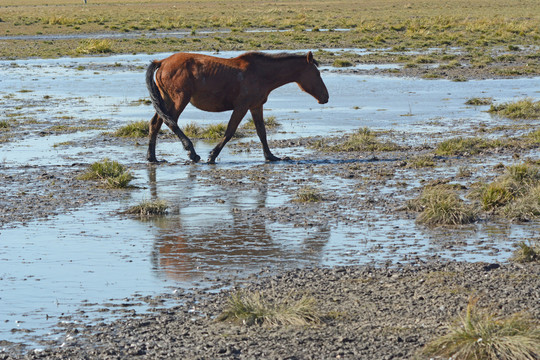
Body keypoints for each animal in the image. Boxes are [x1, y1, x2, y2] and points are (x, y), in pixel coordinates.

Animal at [144, 50, 330, 163]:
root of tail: (162, 62)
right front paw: (212, 156)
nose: (326, 97)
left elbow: (262, 132)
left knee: (155, 123)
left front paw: (271, 156)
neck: (260, 73)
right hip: (179, 100)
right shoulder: (241, 107)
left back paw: (152, 158)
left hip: (167, 100)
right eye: (317, 73)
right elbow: (230, 131)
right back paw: (192, 152)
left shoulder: (256, 106)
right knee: (170, 122)